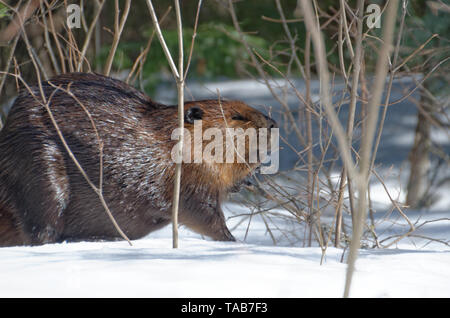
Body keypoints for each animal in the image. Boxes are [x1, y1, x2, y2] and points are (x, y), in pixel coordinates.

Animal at [0, 73, 278, 247]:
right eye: (237, 116)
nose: (273, 123)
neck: (170, 141)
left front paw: (246, 183)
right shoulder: (189, 178)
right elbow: (201, 212)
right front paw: (234, 241)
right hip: (40, 159)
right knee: (41, 227)